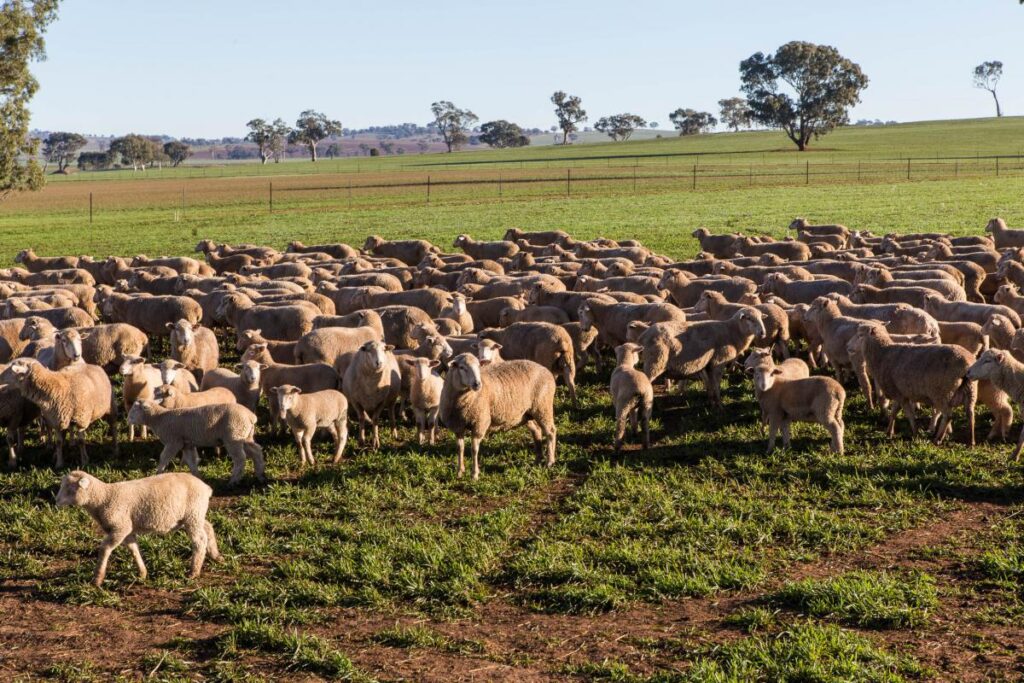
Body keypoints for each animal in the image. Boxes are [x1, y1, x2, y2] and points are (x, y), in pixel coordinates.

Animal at [56, 470, 220, 586]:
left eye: (71, 488)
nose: (56, 501)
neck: (103, 498)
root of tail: (206, 488)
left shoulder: (120, 528)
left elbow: (105, 549)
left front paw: (97, 578)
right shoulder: (127, 530)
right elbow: (134, 549)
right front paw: (142, 573)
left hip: (193, 514)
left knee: (199, 540)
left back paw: (194, 571)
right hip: (194, 515)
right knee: (208, 527)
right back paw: (216, 556)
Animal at [127, 399, 264, 486]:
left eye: (135, 409)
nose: (128, 420)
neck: (159, 418)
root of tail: (251, 416)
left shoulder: (174, 441)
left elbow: (164, 458)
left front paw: (158, 473)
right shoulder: (187, 444)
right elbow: (191, 461)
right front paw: (198, 477)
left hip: (233, 435)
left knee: (240, 458)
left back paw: (233, 481)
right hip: (244, 436)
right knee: (256, 451)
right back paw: (260, 475)